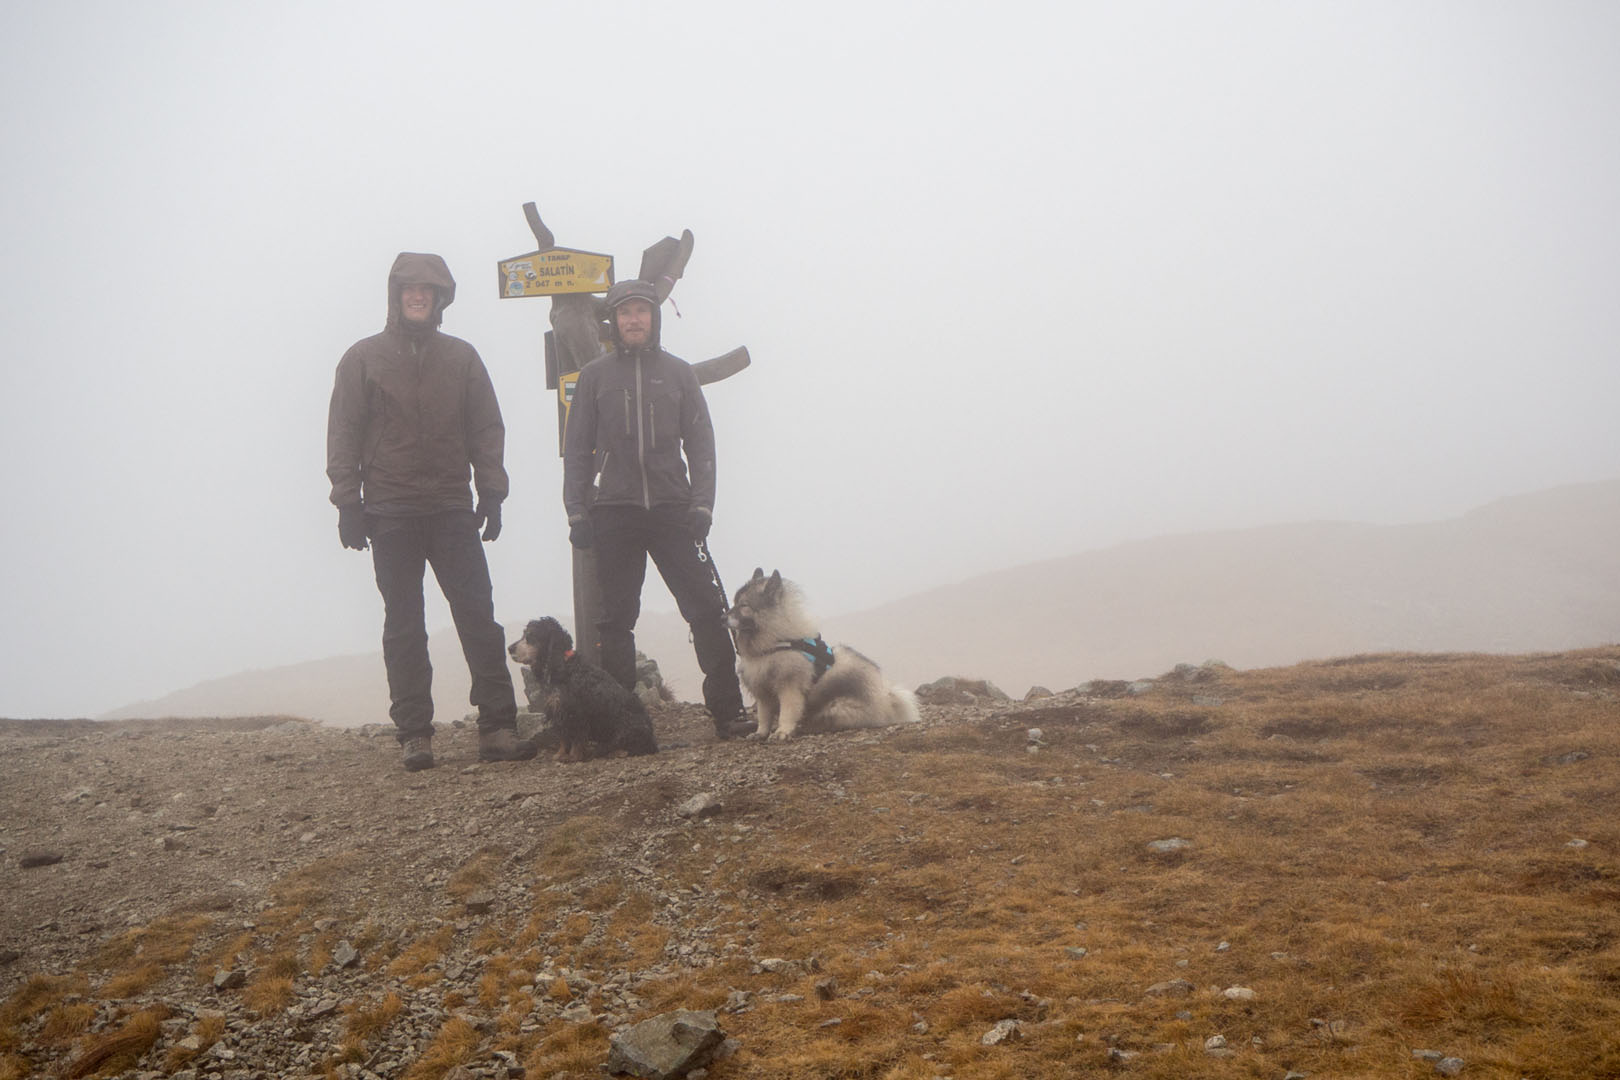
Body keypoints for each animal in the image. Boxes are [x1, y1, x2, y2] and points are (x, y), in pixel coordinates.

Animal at [505, 615, 657, 761]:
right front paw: (560, 754)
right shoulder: (558, 709)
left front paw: (574, 756)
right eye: (524, 634)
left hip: (626, 726)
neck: (564, 665)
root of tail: (653, 741)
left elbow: (577, 737)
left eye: (531, 636)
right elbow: (563, 736)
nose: (509, 648)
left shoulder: (576, 712)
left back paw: (618, 752)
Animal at [729, 569, 920, 738]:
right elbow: (764, 717)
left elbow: (787, 712)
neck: (773, 643)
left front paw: (783, 732)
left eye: (744, 605)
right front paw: (760, 733)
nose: (723, 618)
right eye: (734, 602)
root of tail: (887, 701)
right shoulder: (763, 692)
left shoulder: (789, 687)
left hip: (836, 707)